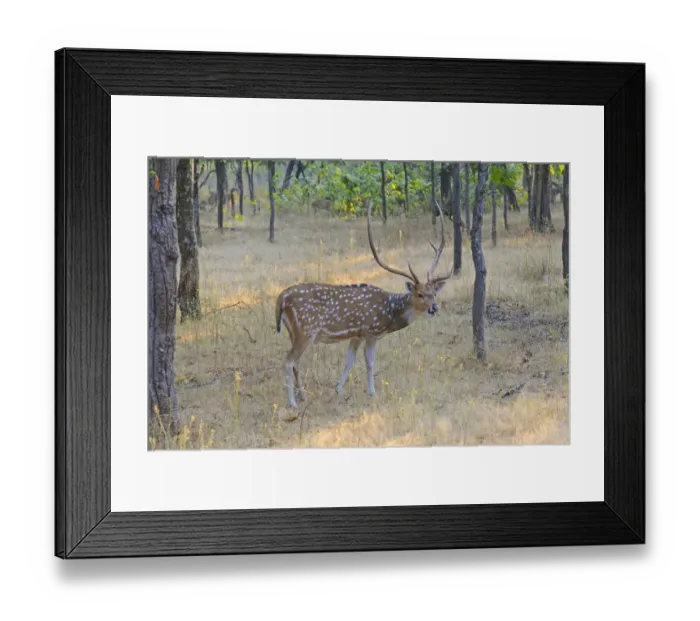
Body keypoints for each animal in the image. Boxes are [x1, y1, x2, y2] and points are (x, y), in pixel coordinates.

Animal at [274, 199, 454, 411]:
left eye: (434, 293)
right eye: (419, 294)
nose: (434, 308)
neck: (389, 314)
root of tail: (281, 298)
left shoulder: (356, 335)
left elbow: (349, 361)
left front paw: (338, 389)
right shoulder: (370, 331)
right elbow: (370, 362)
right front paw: (372, 392)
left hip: (294, 332)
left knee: (295, 363)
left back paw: (302, 396)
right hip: (306, 330)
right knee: (288, 361)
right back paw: (293, 402)